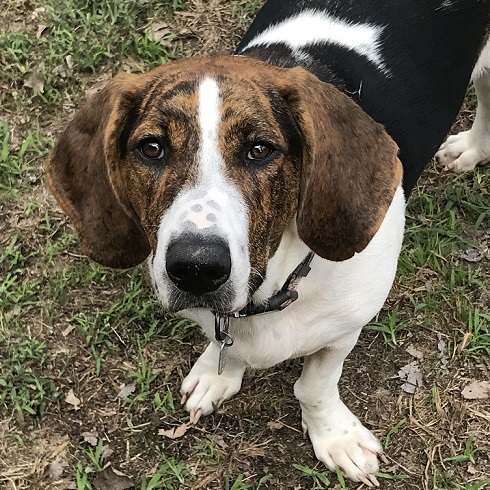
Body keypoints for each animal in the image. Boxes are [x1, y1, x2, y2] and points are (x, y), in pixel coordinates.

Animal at [46, 0, 490, 486]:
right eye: (152, 147)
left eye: (260, 149)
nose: (196, 268)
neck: (272, 288)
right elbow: (224, 344)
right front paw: (216, 372)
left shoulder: (345, 327)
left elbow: (314, 387)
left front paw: (335, 437)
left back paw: (474, 146)